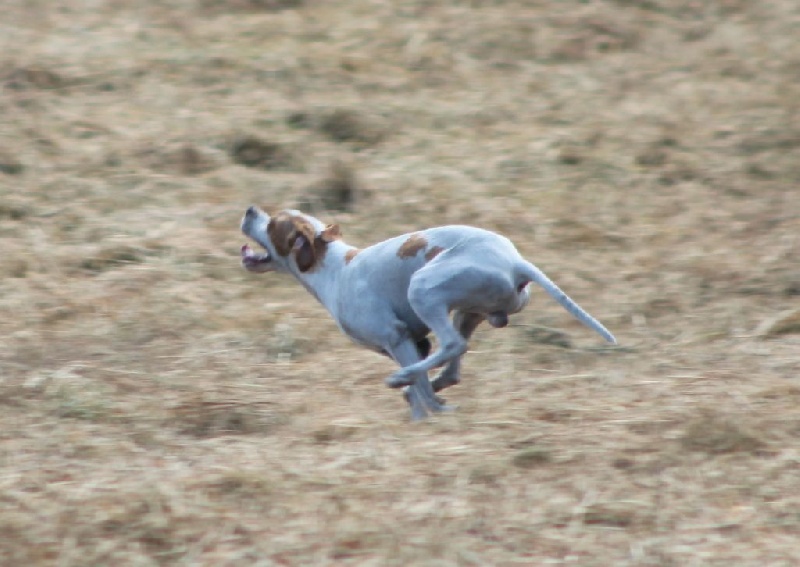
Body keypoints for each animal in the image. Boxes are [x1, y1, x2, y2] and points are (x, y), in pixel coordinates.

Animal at [241, 206, 616, 420]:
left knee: (452, 346)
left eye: (273, 223)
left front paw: (430, 412)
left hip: (423, 288)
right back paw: (420, 385)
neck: (333, 268)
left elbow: (424, 395)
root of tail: (514, 261)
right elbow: (422, 389)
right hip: (465, 312)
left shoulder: (398, 338)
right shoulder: (414, 343)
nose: (249, 210)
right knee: (451, 370)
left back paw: (405, 383)